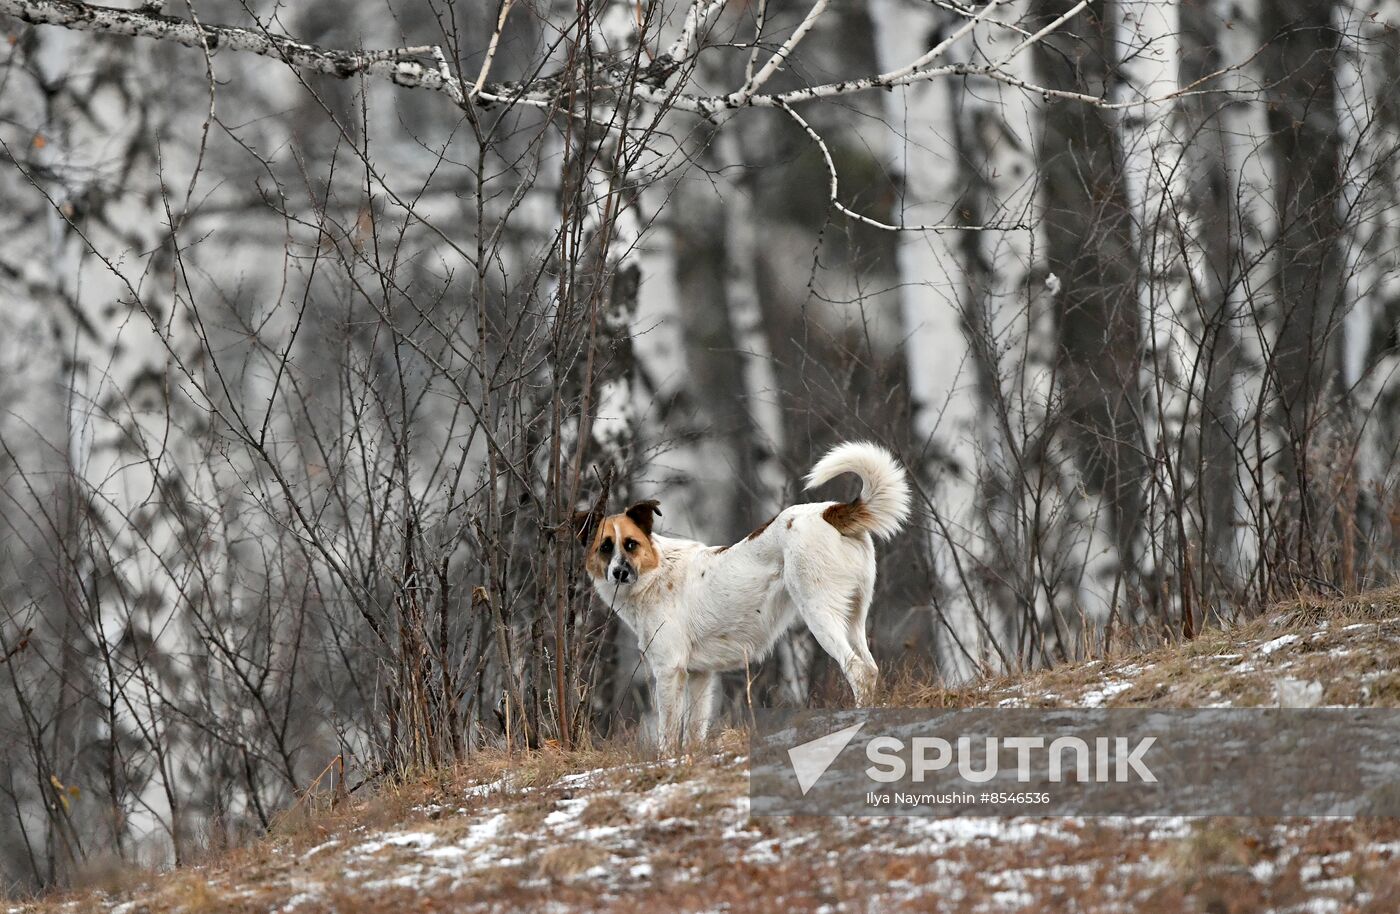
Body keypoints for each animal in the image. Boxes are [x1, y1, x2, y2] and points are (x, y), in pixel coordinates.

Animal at [574, 442, 912, 750]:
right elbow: (695, 729)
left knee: (857, 670)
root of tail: (829, 512)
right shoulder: (700, 674)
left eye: (630, 544)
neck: (655, 572)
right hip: (854, 616)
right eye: (605, 547)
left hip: (819, 613)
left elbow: (668, 733)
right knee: (870, 668)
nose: (620, 573)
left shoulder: (670, 669)